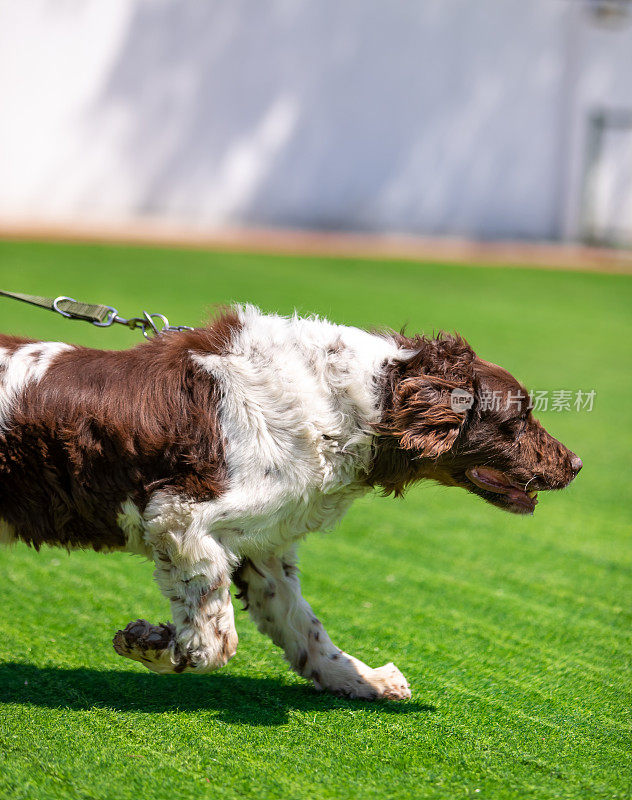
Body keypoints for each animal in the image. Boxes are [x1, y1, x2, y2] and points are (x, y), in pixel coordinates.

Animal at [0, 306, 580, 700]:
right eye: (518, 418)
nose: (575, 464)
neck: (350, 409)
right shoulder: (179, 517)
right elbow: (215, 641)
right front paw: (151, 643)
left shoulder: (265, 547)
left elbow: (307, 630)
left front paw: (366, 679)